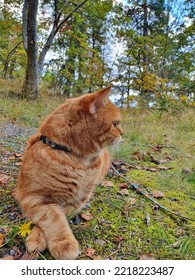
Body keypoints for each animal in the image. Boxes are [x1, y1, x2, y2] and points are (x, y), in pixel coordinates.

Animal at [15, 86, 122, 260]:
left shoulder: (76, 202)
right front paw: (61, 243)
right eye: (115, 124)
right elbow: (53, 218)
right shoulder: (33, 197)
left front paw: (41, 239)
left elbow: (58, 217)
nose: (122, 133)